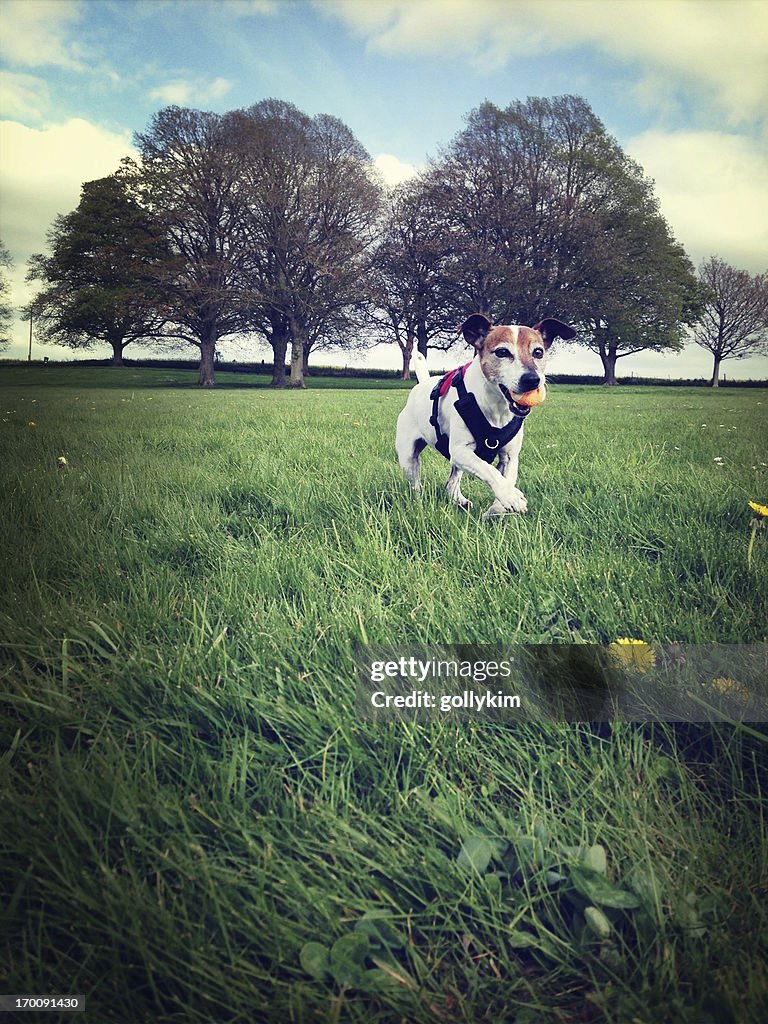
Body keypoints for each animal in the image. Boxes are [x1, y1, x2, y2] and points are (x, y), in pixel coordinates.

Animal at [399, 311, 573, 516]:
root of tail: (422, 384)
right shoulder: (460, 450)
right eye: (502, 352)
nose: (532, 380)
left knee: (451, 482)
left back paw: (460, 500)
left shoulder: (510, 456)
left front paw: (498, 508)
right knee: (415, 484)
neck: (497, 407)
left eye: (538, 352)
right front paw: (511, 496)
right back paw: (419, 503)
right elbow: (490, 471)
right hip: (408, 457)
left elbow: (505, 477)